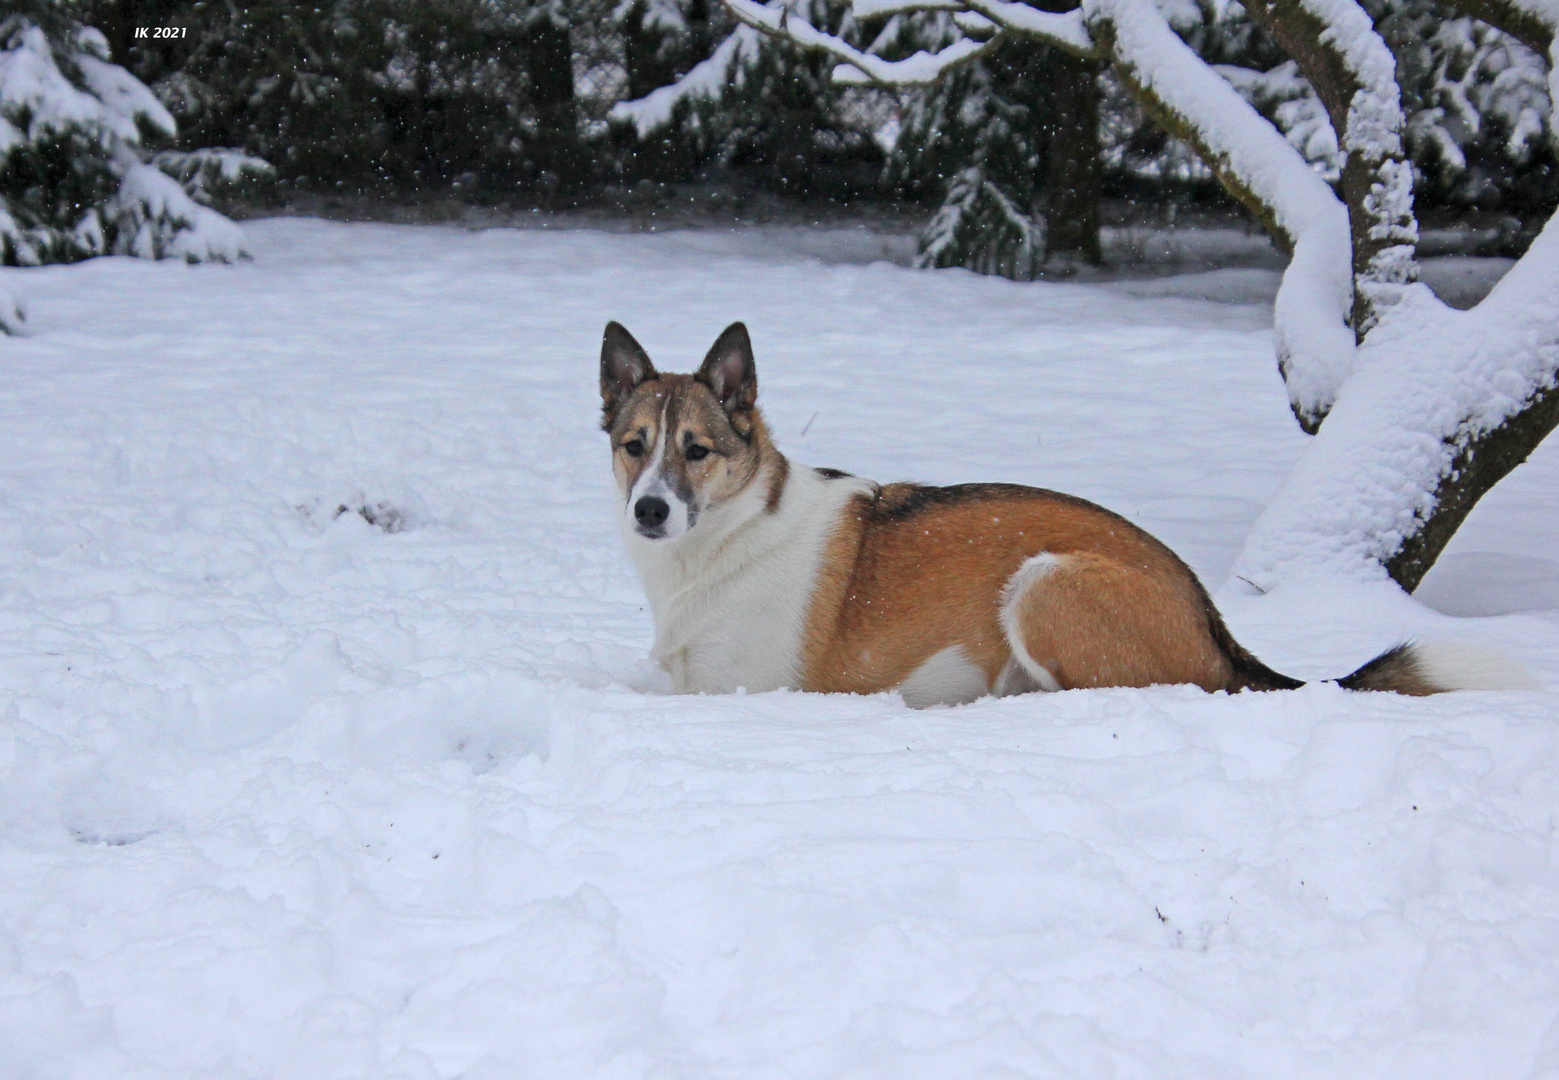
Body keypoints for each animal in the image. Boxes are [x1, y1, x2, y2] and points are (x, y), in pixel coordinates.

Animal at [601, 317, 1527, 707]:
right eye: (634, 444)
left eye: (697, 450)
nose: (649, 511)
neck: (724, 538)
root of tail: (1214, 626)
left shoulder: (740, 690)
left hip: (1043, 581)